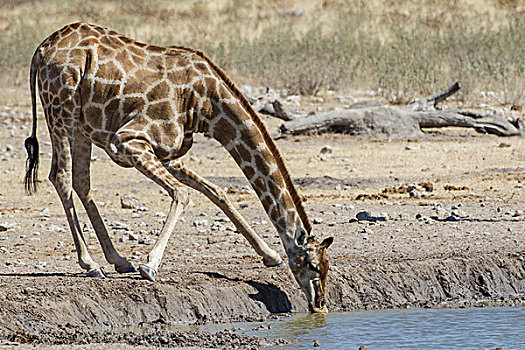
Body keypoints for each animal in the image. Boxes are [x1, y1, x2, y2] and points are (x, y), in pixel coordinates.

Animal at [25, 22, 332, 312]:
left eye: (328, 265)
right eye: (312, 265)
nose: (320, 304)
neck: (206, 105)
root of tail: (41, 50)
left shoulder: (168, 153)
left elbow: (216, 191)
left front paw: (270, 255)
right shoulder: (128, 140)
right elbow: (183, 193)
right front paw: (150, 265)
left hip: (81, 124)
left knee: (81, 180)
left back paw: (118, 260)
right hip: (61, 109)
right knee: (61, 176)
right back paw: (91, 264)